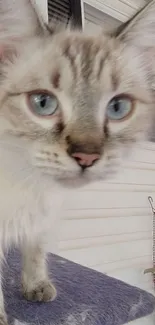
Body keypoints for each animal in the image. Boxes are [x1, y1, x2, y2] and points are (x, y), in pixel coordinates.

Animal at [0, 0, 154, 322]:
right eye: (43, 103)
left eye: (118, 108)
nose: (88, 156)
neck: (29, 179)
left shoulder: (44, 213)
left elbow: (36, 249)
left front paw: (37, 286)